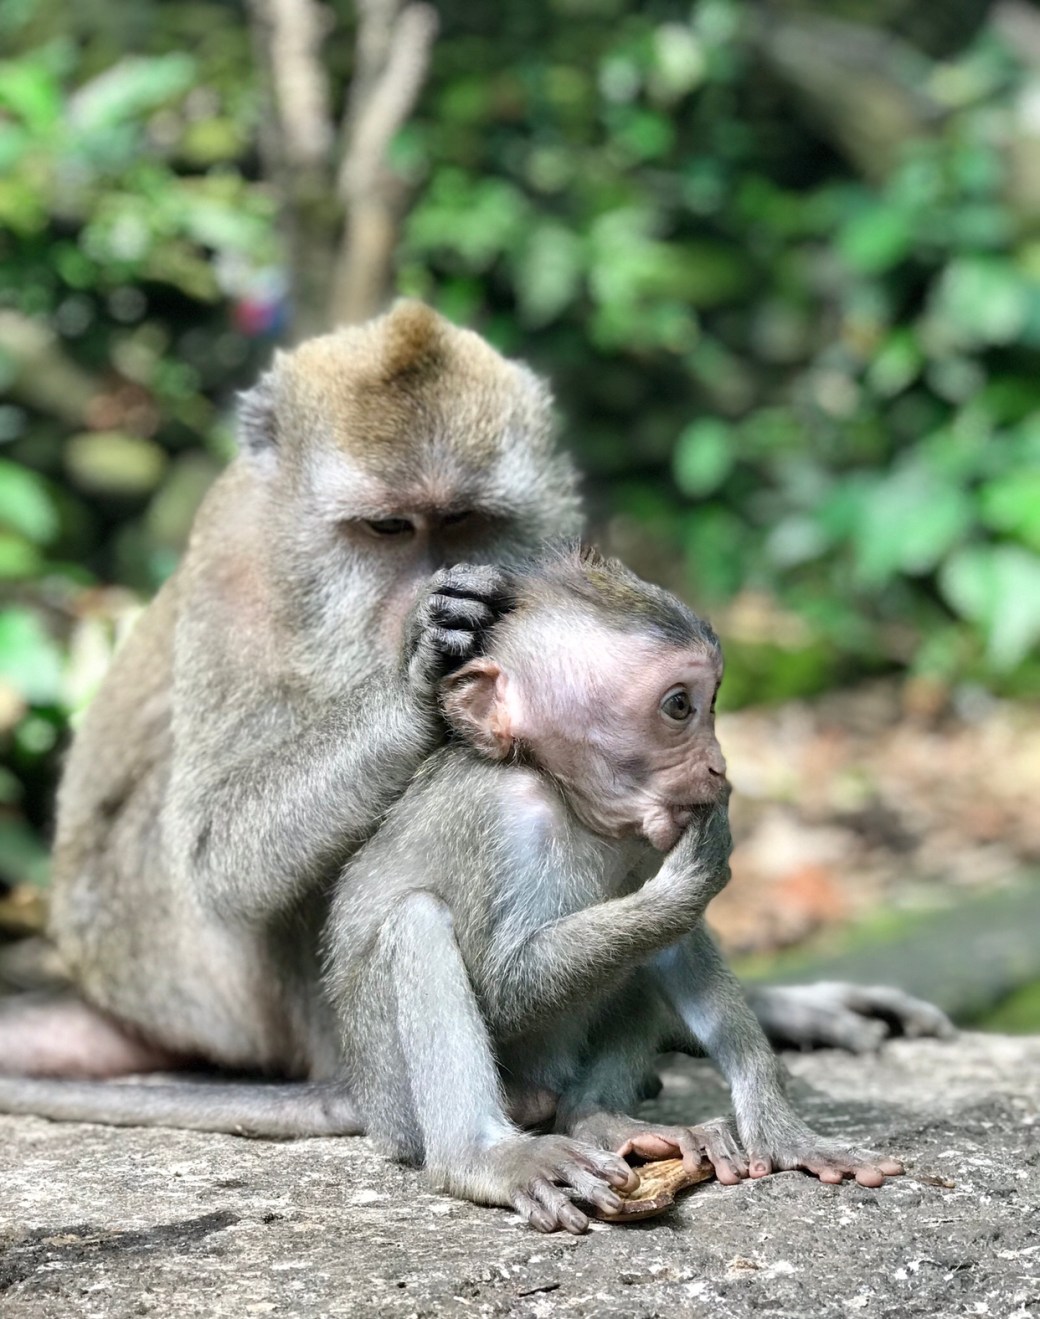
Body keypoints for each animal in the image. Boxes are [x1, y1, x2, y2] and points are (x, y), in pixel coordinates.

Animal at [0, 302, 949, 1137]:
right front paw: (422, 677)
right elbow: (216, 858)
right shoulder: (237, 558)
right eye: (389, 526)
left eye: (464, 518)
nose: (431, 582)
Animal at [324, 547, 903, 1234]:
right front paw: (691, 879)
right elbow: (503, 986)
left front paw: (782, 1125)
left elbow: (677, 947)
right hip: (392, 1096)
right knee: (416, 920)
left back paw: (601, 1120)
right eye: (679, 707)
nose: (719, 766)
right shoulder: (500, 819)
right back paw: (484, 1158)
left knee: (631, 964)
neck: (565, 797)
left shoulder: (645, 832)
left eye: (712, 702)